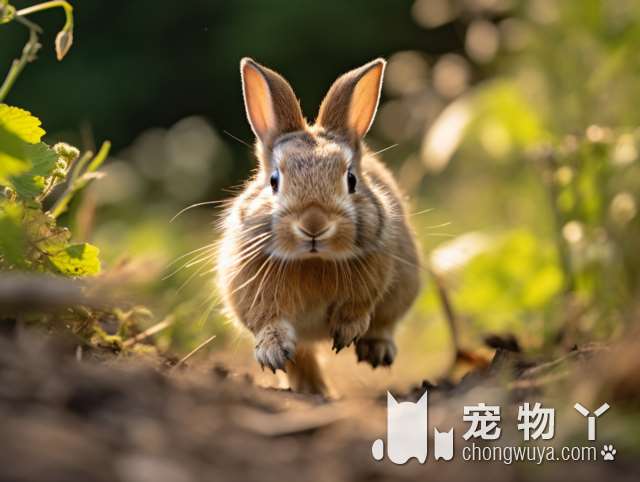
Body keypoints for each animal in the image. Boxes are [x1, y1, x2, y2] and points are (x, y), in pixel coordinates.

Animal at [218, 57, 422, 396]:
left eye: (351, 179)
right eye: (274, 181)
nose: (314, 225)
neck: (312, 262)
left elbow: (359, 308)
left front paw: (346, 332)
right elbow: (268, 321)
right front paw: (272, 352)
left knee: (384, 324)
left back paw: (375, 351)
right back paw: (312, 390)